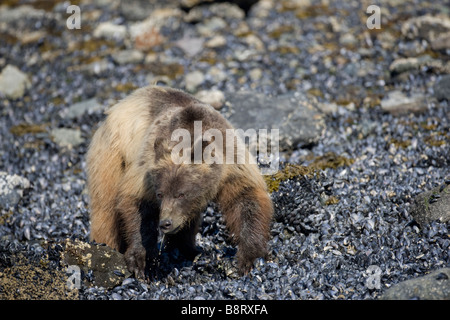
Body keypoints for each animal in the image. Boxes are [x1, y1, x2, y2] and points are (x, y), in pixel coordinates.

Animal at [85, 85, 272, 278]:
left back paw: (187, 250)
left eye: (181, 194)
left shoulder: (231, 166)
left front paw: (249, 257)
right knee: (105, 208)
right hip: (111, 155)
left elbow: (246, 199)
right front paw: (142, 260)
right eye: (160, 194)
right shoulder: (146, 170)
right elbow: (137, 205)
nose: (165, 223)